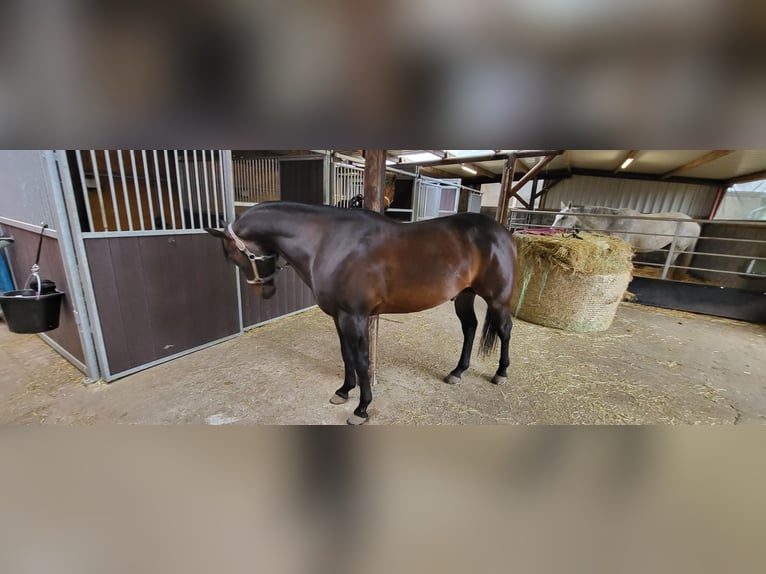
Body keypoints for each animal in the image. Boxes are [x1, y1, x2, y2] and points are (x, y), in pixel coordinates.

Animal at [206, 201, 518, 425]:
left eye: (233, 255)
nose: (266, 291)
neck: (327, 242)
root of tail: (504, 233)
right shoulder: (338, 316)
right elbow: (347, 355)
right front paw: (344, 391)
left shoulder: (354, 317)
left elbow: (363, 360)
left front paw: (362, 408)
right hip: (464, 295)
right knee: (470, 327)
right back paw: (457, 372)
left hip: (497, 299)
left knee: (504, 330)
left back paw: (501, 373)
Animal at [552, 203, 701, 269]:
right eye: (556, 216)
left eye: (564, 217)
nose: (552, 229)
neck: (613, 221)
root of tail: (696, 224)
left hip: (676, 249)